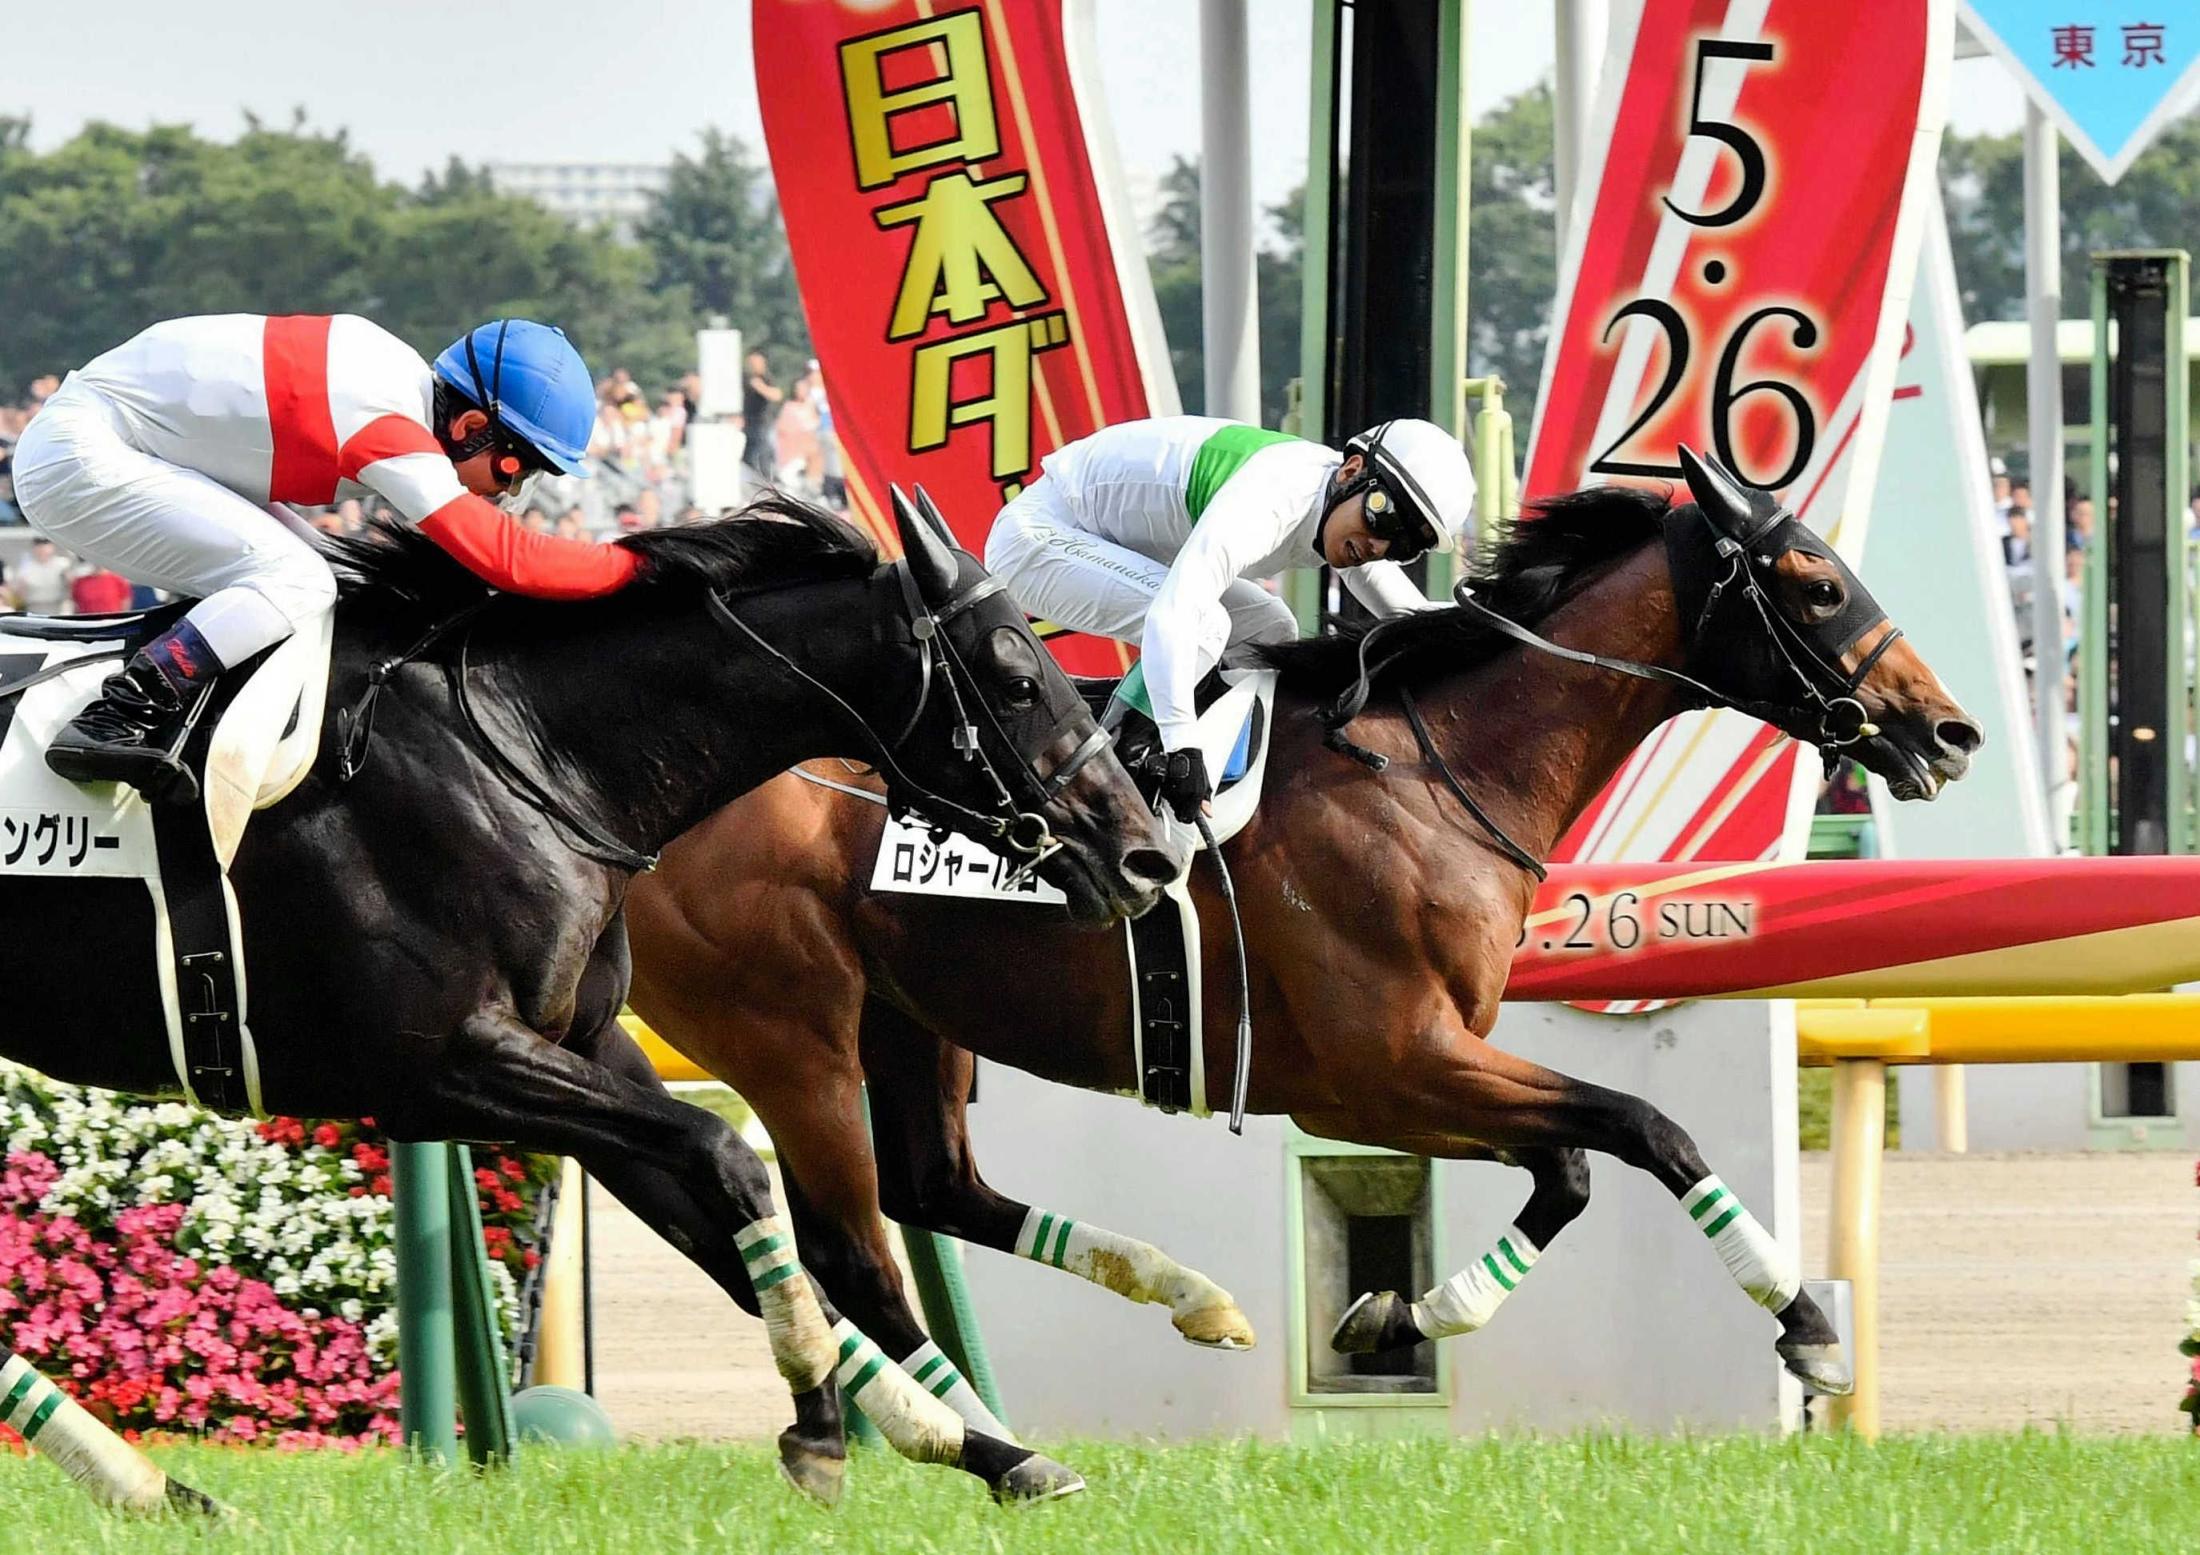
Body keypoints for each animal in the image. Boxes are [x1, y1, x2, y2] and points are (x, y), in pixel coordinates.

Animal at [0, 492, 1173, 1511]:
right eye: (1016, 676)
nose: (1145, 855)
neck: (530, 755)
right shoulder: (442, 1064)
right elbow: (732, 1157)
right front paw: (835, 1428)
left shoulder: (586, 1048)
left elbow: (731, 1224)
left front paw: (976, 1446)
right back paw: (143, 1483)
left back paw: (154, 1487)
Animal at [624, 454, 1984, 1433]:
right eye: (1816, 581)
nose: (1950, 730)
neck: (1433, 774)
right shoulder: (1391, 1061)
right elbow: (1646, 1130)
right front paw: (1806, 1324)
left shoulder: (1389, 1079)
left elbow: (1571, 1166)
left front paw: (1398, 1315)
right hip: (789, 1031)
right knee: (848, 1242)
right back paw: (974, 1441)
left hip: (909, 1019)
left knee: (930, 1189)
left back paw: (1183, 1303)